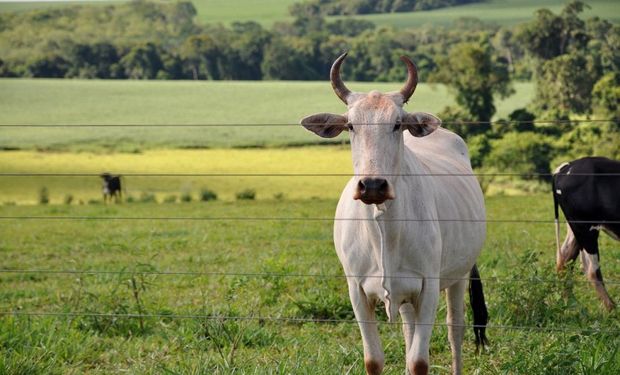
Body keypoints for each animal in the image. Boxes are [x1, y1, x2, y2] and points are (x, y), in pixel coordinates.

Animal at [302, 53, 490, 375]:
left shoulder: (428, 287)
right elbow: (374, 359)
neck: (384, 227)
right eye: (350, 125)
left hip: (459, 275)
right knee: (409, 328)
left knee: (455, 330)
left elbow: (419, 361)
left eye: (397, 124)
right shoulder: (357, 291)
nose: (372, 185)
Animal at [556, 156, 620, 312]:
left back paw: (570, 304)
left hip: (575, 228)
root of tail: (567, 166)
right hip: (586, 228)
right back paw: (612, 309)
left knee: (565, 260)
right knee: (591, 269)